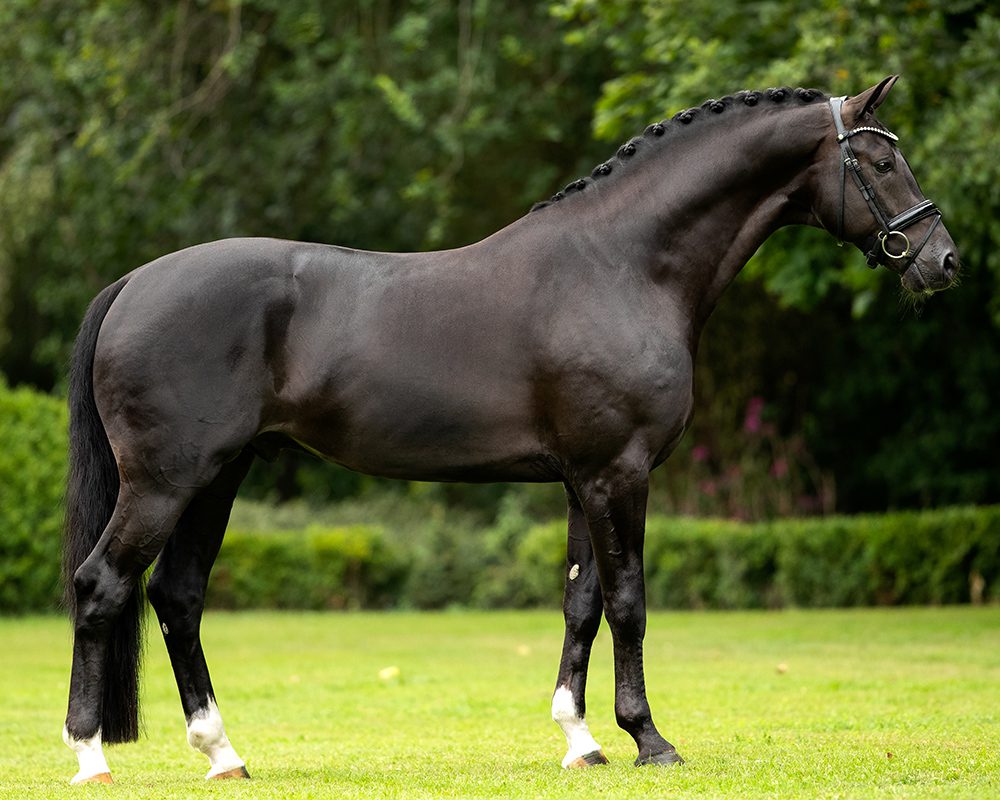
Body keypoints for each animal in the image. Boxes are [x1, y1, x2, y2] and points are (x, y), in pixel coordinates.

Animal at [61, 76, 958, 783]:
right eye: (882, 162)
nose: (941, 261)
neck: (621, 265)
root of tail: (134, 282)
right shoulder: (619, 472)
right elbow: (628, 601)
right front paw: (650, 740)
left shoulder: (581, 478)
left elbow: (581, 603)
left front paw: (582, 742)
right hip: (167, 480)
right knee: (102, 585)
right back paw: (90, 756)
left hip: (218, 477)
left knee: (177, 596)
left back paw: (223, 755)